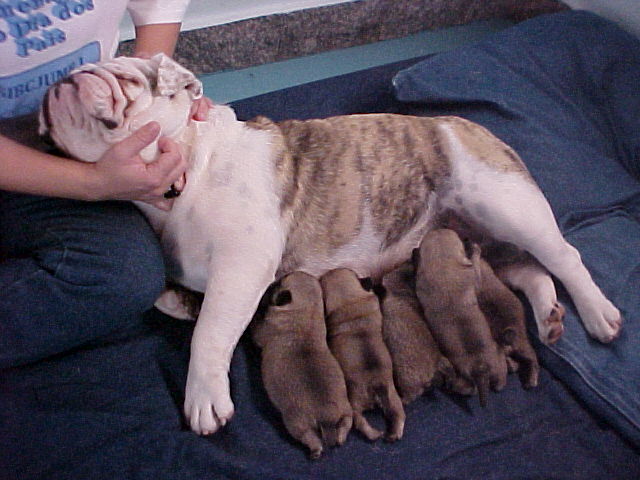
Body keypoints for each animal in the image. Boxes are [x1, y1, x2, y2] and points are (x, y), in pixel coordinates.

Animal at [251, 270, 352, 458]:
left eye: (280, 283)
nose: (273, 282)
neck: (306, 311)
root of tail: (326, 419)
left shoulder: (263, 331)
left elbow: (255, 329)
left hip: (297, 424)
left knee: (309, 437)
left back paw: (315, 450)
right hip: (346, 412)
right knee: (346, 424)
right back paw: (341, 438)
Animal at [320, 268, 404, 440]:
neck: (348, 300)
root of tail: (375, 385)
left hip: (355, 405)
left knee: (360, 422)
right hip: (393, 398)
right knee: (398, 416)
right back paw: (393, 434)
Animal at [416, 229, 510, 404]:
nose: (438, 228)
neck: (442, 264)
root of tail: (479, 368)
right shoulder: (474, 276)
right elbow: (476, 267)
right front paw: (475, 249)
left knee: (466, 388)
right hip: (498, 365)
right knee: (499, 382)